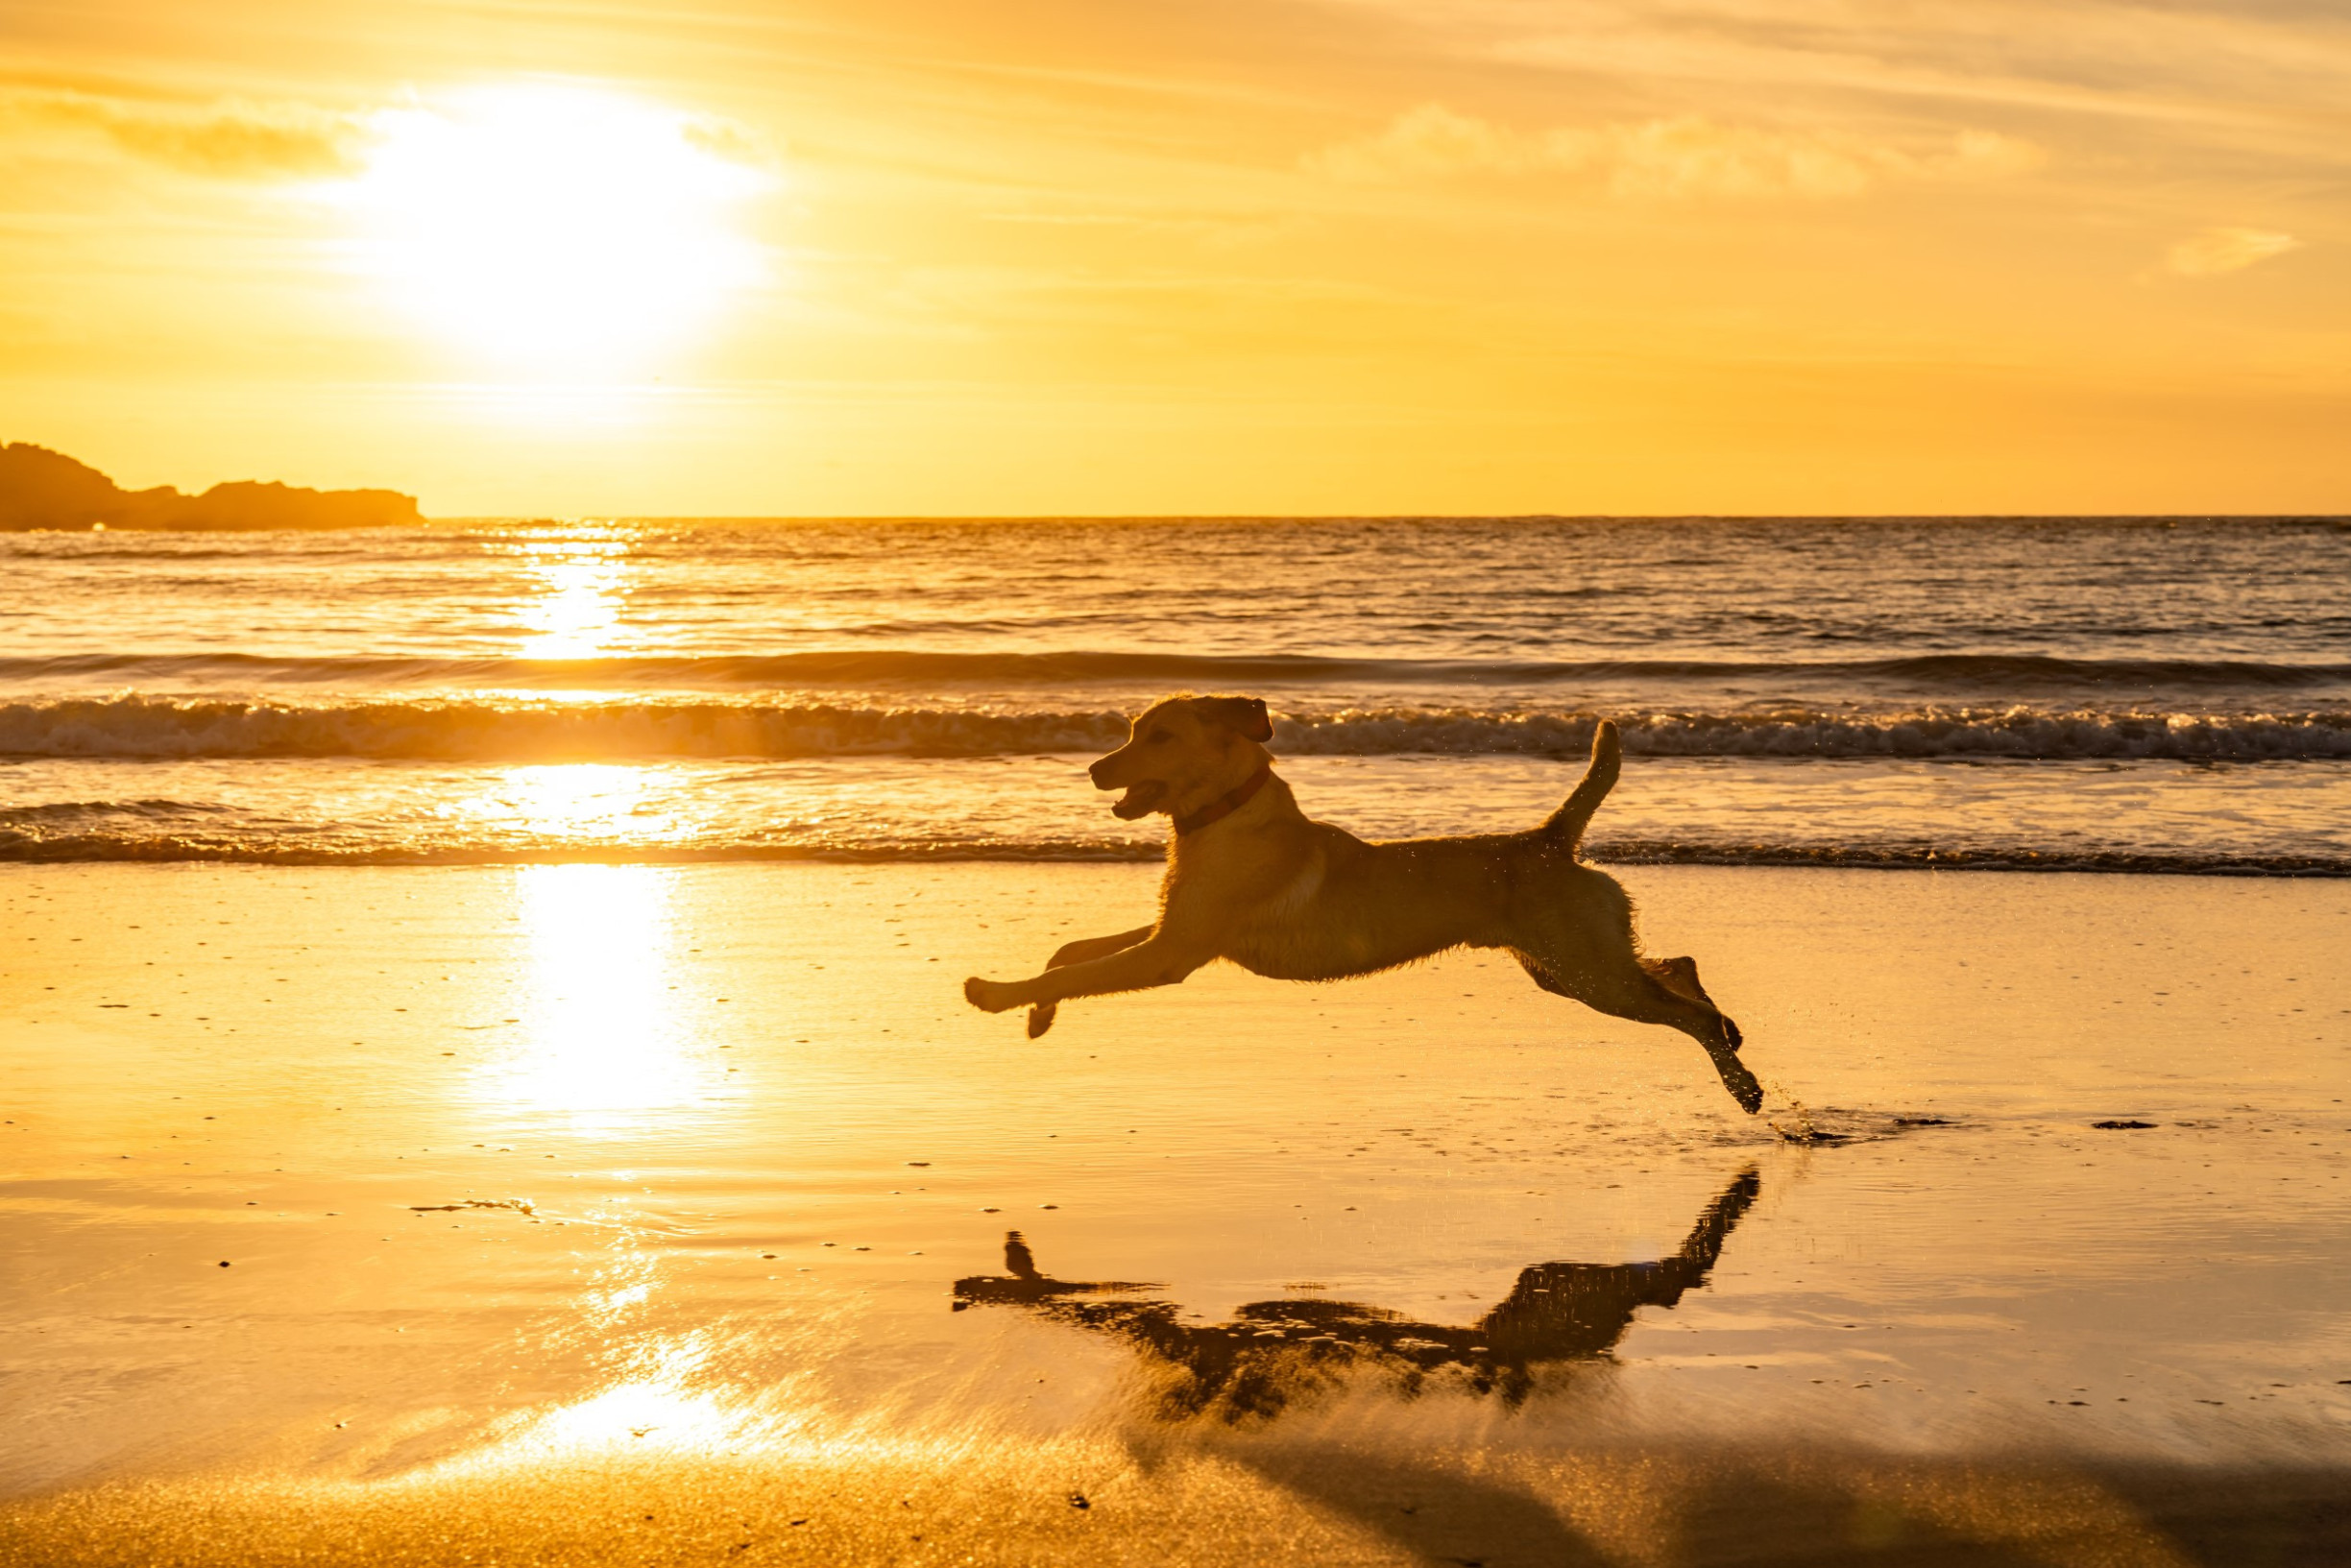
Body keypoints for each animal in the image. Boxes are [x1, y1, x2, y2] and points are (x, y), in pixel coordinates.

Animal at [958, 690, 1767, 1114]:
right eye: (1131, 732)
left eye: (1158, 736)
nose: (1096, 768)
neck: (1226, 813)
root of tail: (1548, 840)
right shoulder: (1174, 927)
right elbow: (1071, 951)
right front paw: (1036, 1012)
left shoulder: (1174, 950)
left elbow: (1077, 968)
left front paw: (996, 993)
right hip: (1568, 966)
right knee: (1679, 965)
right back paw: (1729, 1029)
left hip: (1587, 972)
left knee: (1684, 1012)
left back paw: (1743, 1082)